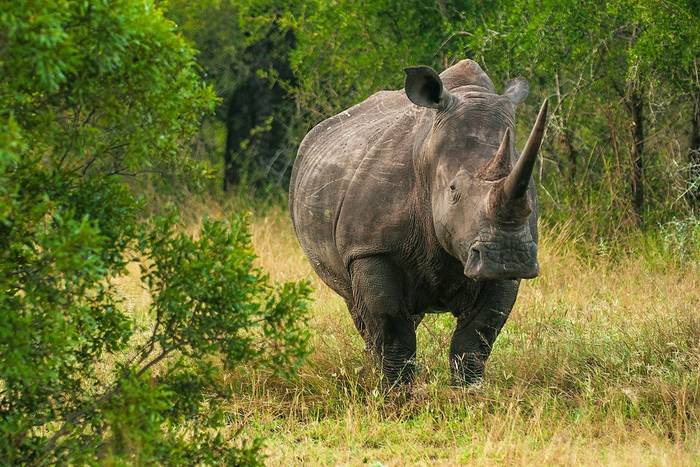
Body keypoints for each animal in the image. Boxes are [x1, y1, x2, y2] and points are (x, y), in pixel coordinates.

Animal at [289, 59, 548, 385]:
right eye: (453, 190)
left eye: (529, 194)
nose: (508, 256)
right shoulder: (370, 249)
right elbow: (392, 333)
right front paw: (395, 393)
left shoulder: (502, 268)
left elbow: (476, 339)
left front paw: (468, 391)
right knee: (358, 307)